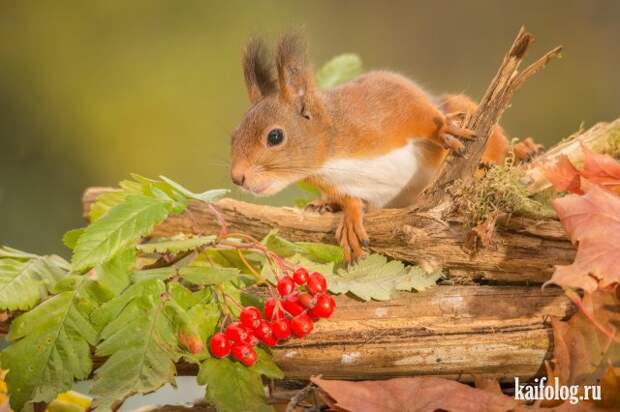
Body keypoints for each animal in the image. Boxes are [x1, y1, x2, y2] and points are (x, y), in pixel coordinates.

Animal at [232, 34, 512, 260]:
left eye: (275, 136)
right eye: (233, 136)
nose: (237, 178)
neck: (332, 156)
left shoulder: (386, 102)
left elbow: (419, 113)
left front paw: (442, 129)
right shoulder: (341, 185)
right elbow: (351, 199)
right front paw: (350, 217)